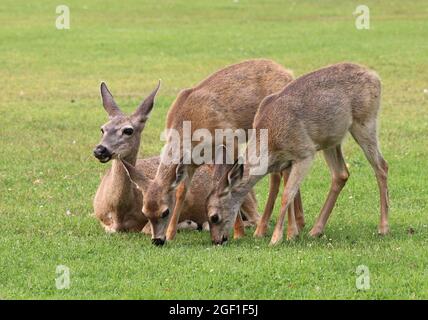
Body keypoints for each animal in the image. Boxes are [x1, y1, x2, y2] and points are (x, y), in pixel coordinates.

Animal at [92, 82, 260, 238]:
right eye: (102, 129)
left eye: (128, 130)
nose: (100, 150)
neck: (119, 213)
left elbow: (148, 228)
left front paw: (188, 224)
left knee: (254, 218)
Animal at [131, 59, 304, 245]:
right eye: (145, 212)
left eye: (165, 211)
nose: (157, 240)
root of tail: (288, 73)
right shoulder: (192, 163)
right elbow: (181, 191)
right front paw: (171, 235)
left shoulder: (230, 141)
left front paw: (238, 232)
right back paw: (297, 224)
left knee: (281, 174)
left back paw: (272, 229)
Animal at [206, 62, 390, 245]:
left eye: (214, 217)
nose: (217, 240)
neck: (271, 143)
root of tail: (375, 77)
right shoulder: (287, 162)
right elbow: (290, 193)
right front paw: (292, 233)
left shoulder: (304, 152)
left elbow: (287, 195)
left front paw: (276, 238)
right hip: (330, 139)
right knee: (341, 174)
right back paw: (315, 230)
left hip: (365, 121)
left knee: (381, 166)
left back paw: (383, 227)